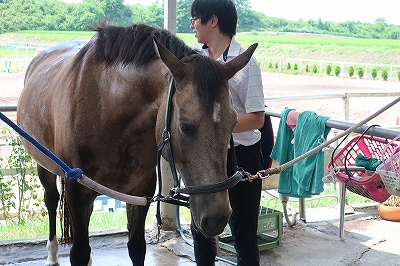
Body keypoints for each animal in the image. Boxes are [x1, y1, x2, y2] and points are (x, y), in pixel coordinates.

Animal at [16, 23, 256, 264]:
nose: (217, 219)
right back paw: (52, 255)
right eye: (186, 126)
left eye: (234, 122)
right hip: (44, 165)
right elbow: (80, 253)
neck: (107, 107)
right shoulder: (77, 192)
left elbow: (137, 247)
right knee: (51, 199)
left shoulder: (140, 192)